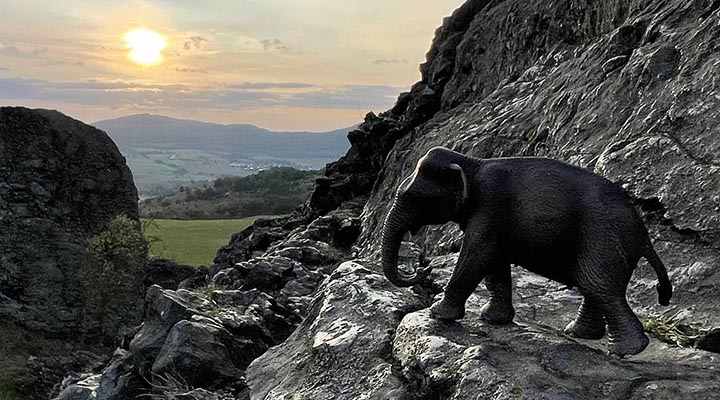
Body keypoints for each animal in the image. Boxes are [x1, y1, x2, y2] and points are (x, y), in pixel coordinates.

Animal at [386, 147, 672, 356]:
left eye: (413, 197)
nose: (422, 267)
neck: (471, 163)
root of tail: (644, 234)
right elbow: (494, 264)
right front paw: (493, 320)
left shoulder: (491, 206)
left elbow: (476, 256)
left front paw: (437, 314)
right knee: (594, 288)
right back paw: (578, 333)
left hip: (601, 237)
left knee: (598, 285)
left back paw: (626, 351)